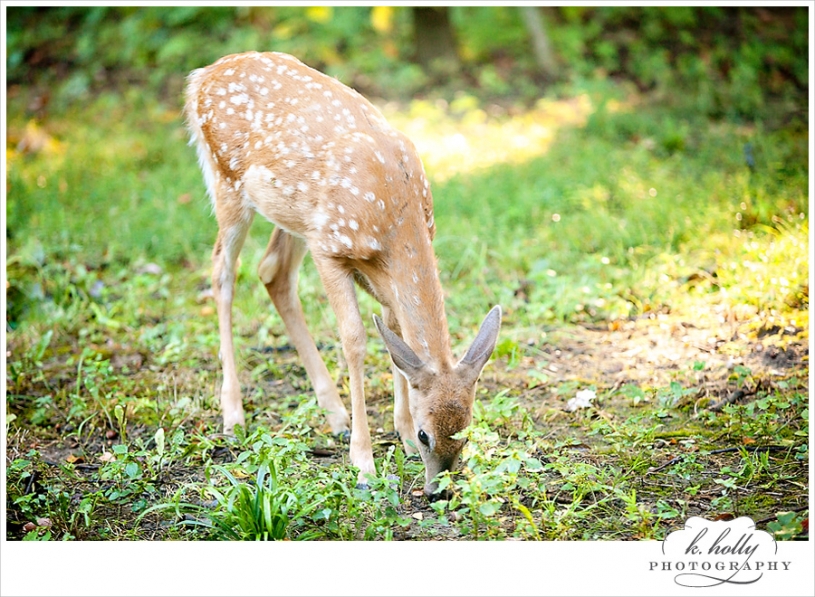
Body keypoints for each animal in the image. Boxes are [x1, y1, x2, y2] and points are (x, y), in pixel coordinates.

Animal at [184, 51, 501, 498]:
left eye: (466, 431)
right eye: (428, 435)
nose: (437, 489)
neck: (396, 216)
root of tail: (201, 76)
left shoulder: (370, 266)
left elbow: (395, 334)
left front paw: (400, 435)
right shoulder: (330, 250)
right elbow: (355, 339)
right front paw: (365, 464)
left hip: (295, 215)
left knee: (272, 271)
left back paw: (333, 412)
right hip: (227, 182)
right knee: (222, 273)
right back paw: (233, 414)